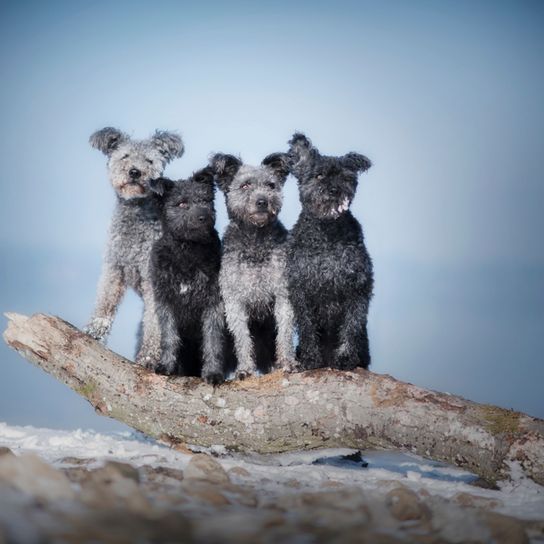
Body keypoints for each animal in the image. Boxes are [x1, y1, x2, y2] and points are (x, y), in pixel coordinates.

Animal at [85, 126, 185, 366]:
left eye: (149, 160)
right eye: (125, 156)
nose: (134, 172)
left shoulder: (153, 280)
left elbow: (155, 323)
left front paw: (149, 356)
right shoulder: (114, 268)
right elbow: (105, 300)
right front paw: (94, 331)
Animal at [147, 168, 227, 384]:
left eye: (205, 200)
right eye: (182, 203)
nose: (203, 217)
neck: (187, 252)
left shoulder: (213, 304)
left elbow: (212, 340)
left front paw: (213, 372)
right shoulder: (165, 303)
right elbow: (169, 337)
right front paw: (166, 365)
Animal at [286, 133, 372, 370]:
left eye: (345, 177)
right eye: (319, 175)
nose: (334, 190)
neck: (327, 234)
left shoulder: (358, 286)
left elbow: (351, 325)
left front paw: (346, 358)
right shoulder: (300, 288)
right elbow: (307, 327)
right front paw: (310, 359)